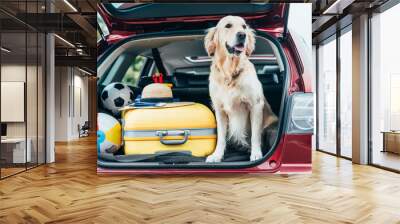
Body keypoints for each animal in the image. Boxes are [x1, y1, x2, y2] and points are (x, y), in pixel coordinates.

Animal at [203, 16, 278, 163]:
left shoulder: (255, 105)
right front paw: (217, 155)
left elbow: (255, 135)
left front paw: (256, 154)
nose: (242, 35)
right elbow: (221, 137)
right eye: (228, 25)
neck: (230, 72)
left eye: (244, 26)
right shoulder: (219, 110)